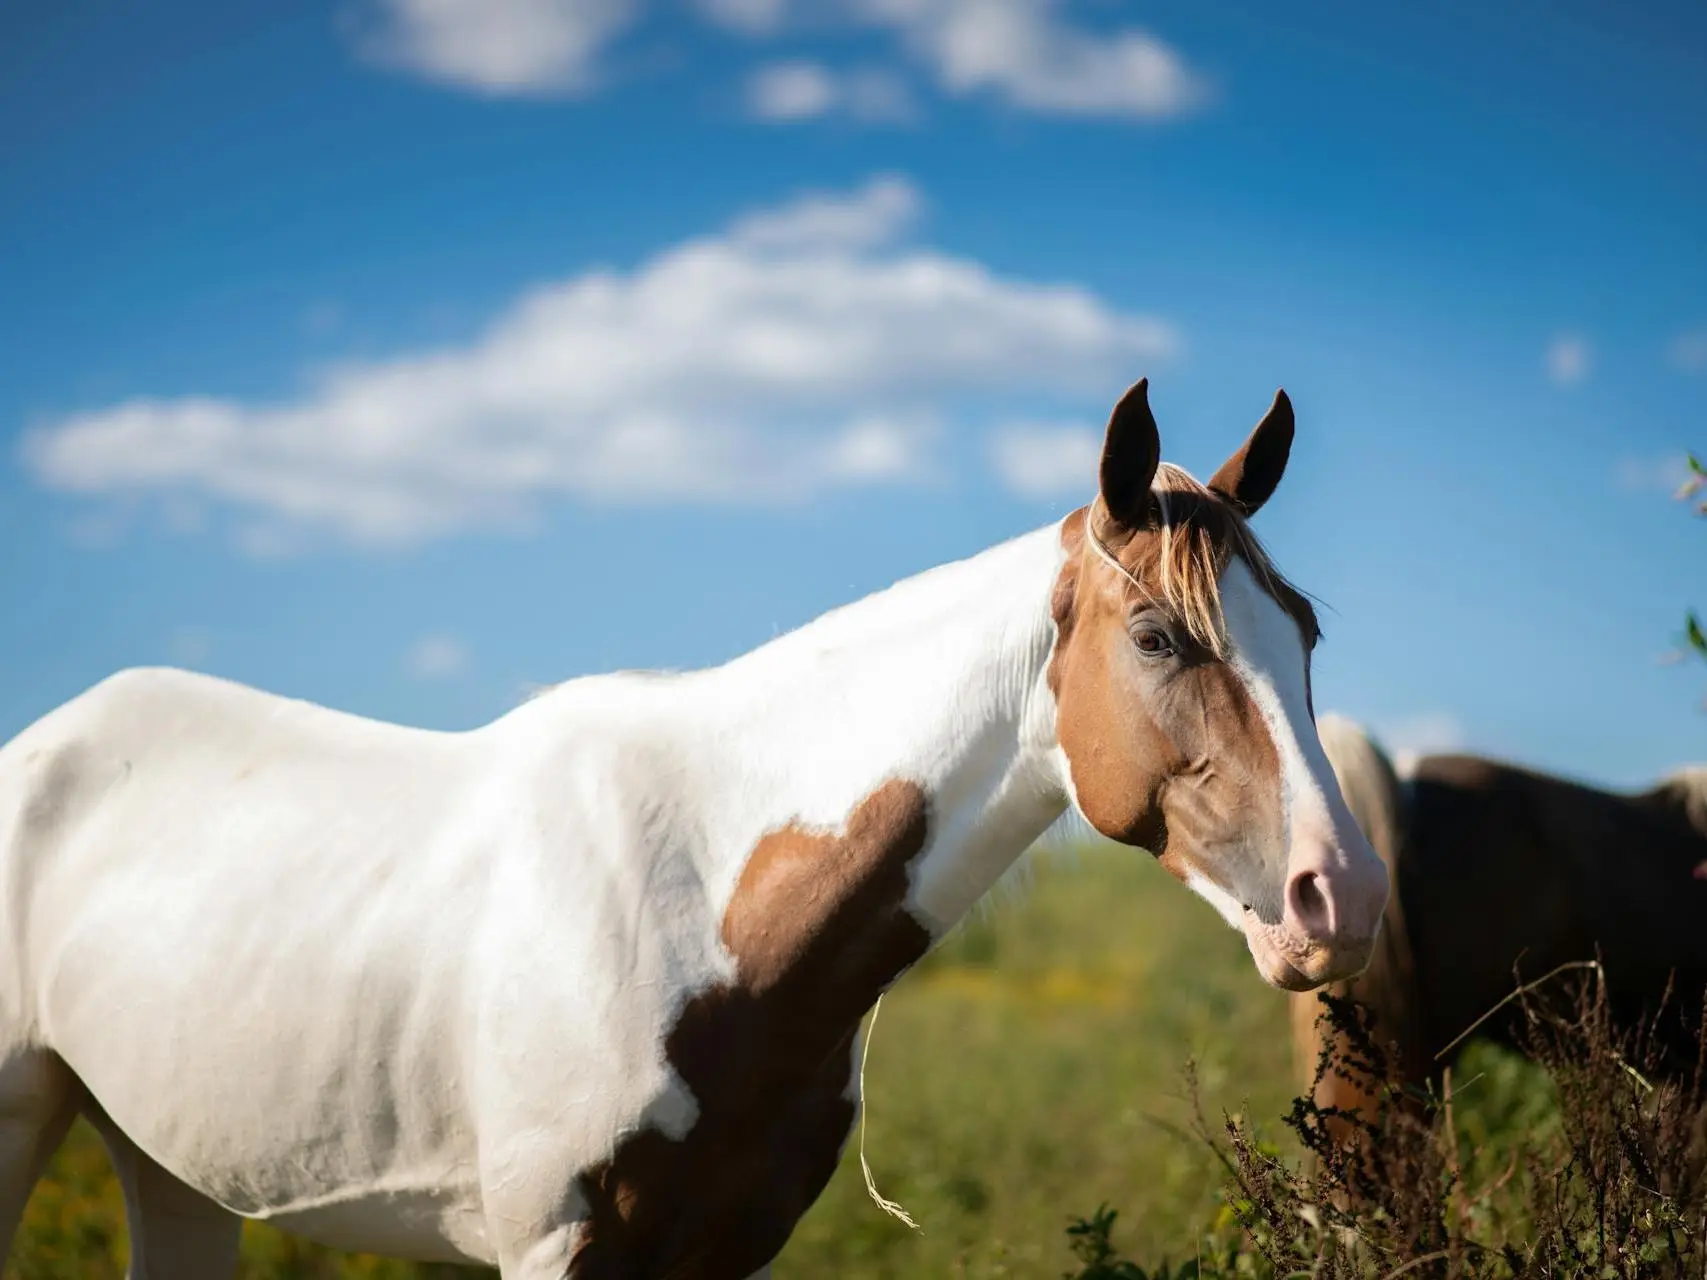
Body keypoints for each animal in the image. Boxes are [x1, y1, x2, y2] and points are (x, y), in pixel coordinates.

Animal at [0, 384, 1386, 1280]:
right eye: (1157, 636)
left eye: (1308, 627)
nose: (1343, 896)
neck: (701, 907)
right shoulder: (558, 1247)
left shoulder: (728, 1246)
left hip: (171, 1162)